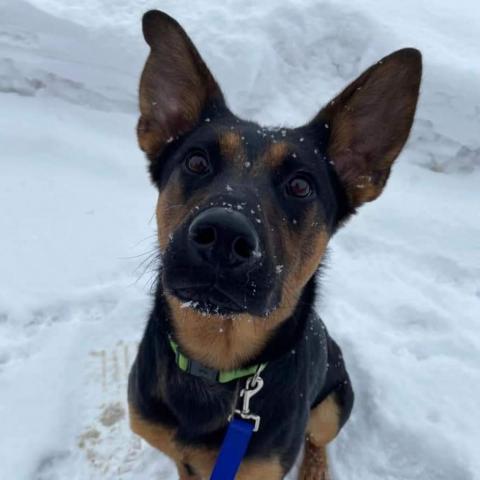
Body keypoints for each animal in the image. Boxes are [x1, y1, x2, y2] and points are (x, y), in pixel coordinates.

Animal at [128, 8, 424, 480]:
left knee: (317, 439)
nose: (224, 236)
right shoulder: (179, 452)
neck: (216, 363)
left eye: (300, 185)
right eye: (196, 161)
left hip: (333, 404)